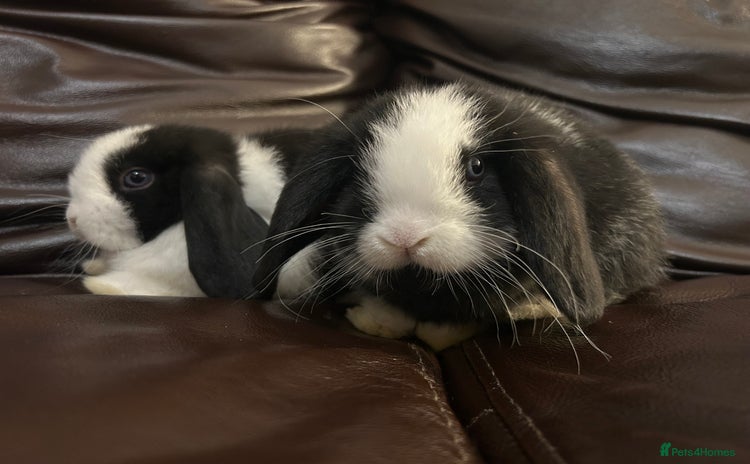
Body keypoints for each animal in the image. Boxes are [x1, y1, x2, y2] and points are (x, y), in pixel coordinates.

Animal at [252, 82, 666, 350]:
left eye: (477, 167)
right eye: (357, 171)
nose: (406, 236)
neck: (424, 288)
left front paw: (443, 333)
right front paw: (377, 322)